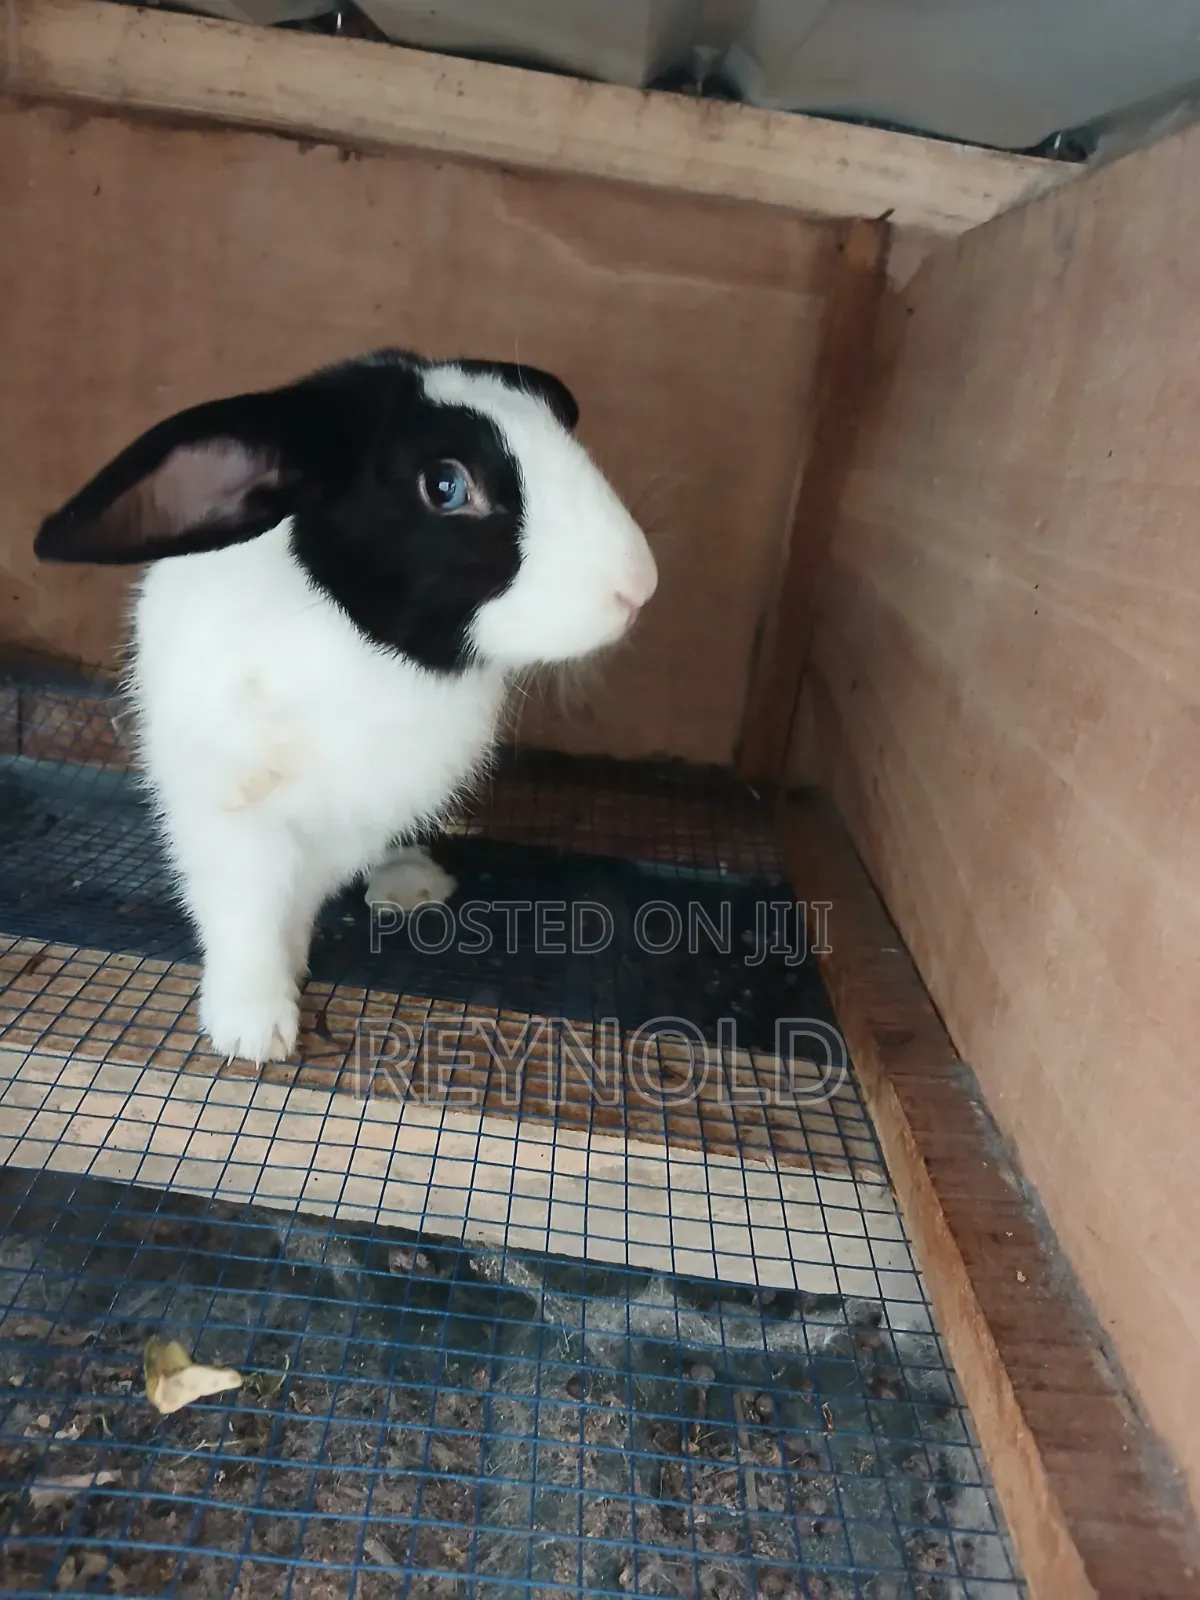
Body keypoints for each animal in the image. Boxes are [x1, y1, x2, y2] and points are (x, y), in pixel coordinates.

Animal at [34, 348, 658, 1065]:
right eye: (445, 486)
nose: (639, 587)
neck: (374, 659)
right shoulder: (230, 810)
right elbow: (246, 911)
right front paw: (254, 1030)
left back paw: (409, 886)